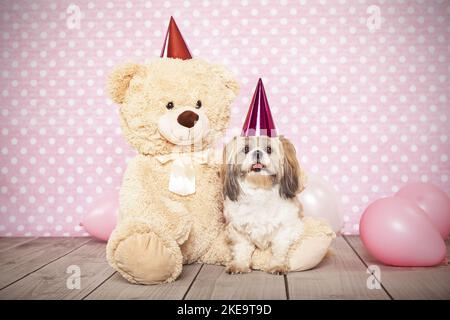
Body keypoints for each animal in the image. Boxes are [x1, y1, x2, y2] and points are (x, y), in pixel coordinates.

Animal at [221, 135, 306, 276]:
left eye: (269, 149)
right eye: (246, 149)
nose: (257, 152)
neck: (260, 190)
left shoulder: (286, 228)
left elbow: (279, 248)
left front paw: (277, 265)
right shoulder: (238, 230)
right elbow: (241, 248)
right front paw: (239, 264)